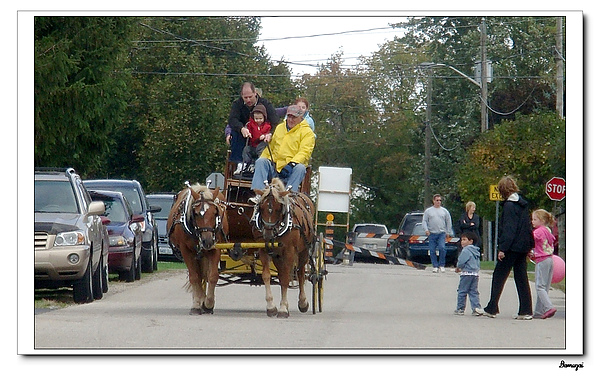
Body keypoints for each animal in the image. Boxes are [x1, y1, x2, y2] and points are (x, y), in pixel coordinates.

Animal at [168, 182, 229, 314]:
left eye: (215, 212)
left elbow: (212, 276)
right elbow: (194, 277)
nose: (207, 241)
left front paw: (208, 304)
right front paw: (197, 304)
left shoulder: (215, 248)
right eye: (195, 213)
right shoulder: (186, 251)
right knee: (199, 276)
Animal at [253, 178, 316, 318]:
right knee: (282, 274)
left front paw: (282, 309)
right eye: (261, 207)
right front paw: (271, 307)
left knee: (300, 273)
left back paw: (303, 302)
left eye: (278, 208)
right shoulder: (264, 250)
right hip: (277, 256)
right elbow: (267, 275)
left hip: (304, 251)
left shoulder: (289, 251)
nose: (268, 234)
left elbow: (287, 279)